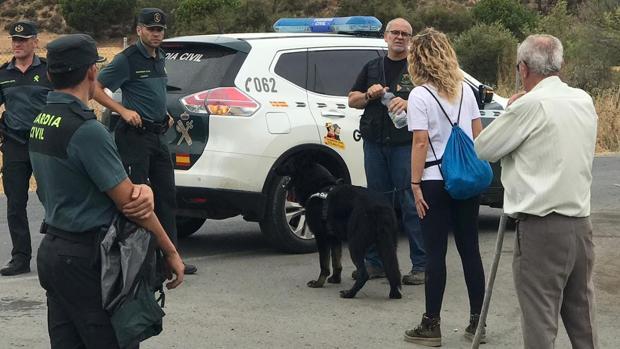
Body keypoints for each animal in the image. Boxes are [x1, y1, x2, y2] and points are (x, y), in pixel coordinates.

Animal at [276, 158, 402, 300]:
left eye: (287, 164)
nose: (274, 168)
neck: (321, 186)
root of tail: (379, 208)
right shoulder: (334, 238)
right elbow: (336, 261)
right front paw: (336, 279)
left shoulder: (321, 237)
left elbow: (324, 264)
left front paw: (318, 283)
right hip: (386, 245)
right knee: (392, 269)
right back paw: (394, 293)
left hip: (355, 245)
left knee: (364, 274)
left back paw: (350, 293)